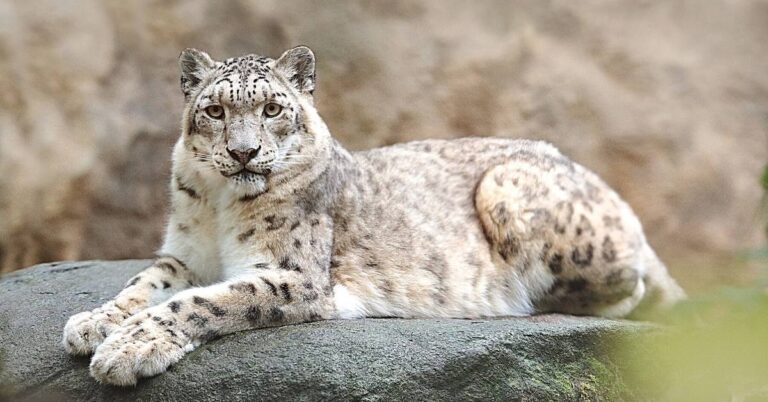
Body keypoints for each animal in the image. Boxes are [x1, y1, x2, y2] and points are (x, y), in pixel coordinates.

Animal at [62, 46, 685, 386]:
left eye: (273, 108)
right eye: (214, 110)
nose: (243, 153)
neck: (217, 207)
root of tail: (600, 181)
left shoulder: (292, 275)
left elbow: (202, 302)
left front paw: (126, 348)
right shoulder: (183, 254)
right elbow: (145, 283)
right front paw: (92, 323)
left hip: (511, 192)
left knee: (630, 285)